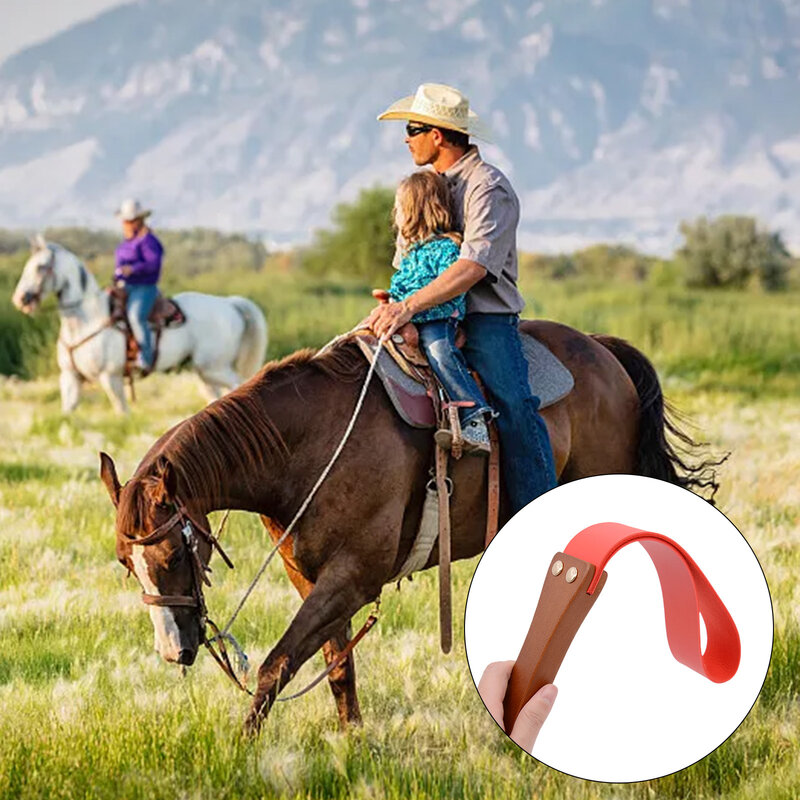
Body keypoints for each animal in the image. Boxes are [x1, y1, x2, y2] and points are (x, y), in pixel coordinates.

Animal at [11, 236, 268, 412]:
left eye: (41, 267)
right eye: (26, 265)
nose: (21, 299)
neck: (88, 320)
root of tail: (229, 303)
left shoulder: (111, 377)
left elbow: (122, 411)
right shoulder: (70, 379)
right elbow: (68, 413)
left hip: (214, 368)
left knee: (238, 384)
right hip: (205, 373)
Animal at [98, 322, 720, 736]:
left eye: (175, 554)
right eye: (127, 564)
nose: (173, 651)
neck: (307, 443)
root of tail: (602, 350)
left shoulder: (353, 578)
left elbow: (278, 664)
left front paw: (242, 748)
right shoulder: (312, 578)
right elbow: (337, 665)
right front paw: (353, 742)